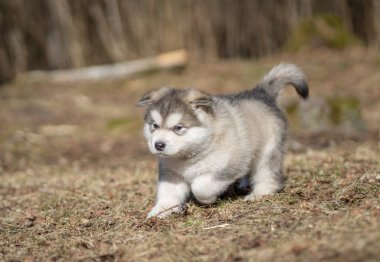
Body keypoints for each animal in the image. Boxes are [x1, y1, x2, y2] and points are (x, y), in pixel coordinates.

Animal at [137, 63, 308, 217]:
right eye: (154, 126)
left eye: (178, 127)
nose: (159, 145)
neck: (189, 155)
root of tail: (262, 93)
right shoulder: (171, 173)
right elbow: (168, 192)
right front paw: (161, 210)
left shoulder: (228, 166)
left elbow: (201, 186)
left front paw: (208, 199)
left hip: (268, 150)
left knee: (266, 173)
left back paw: (259, 194)